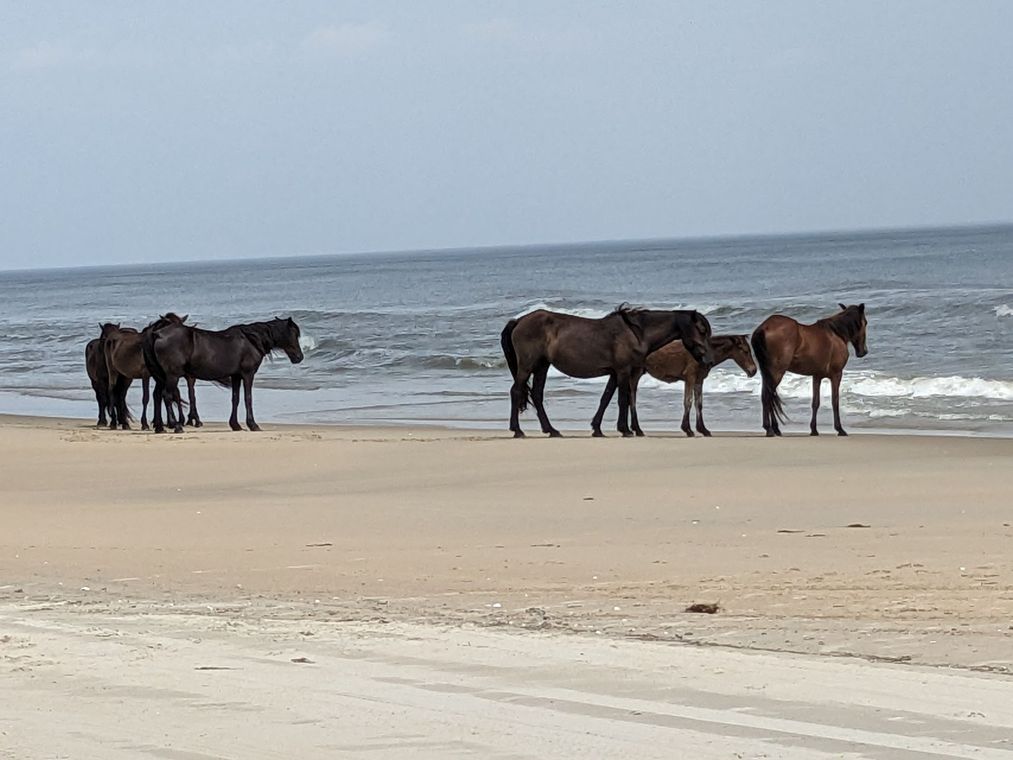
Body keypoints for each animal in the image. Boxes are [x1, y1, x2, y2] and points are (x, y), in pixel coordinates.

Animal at [143, 317, 304, 434]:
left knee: (157, 396)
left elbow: (235, 399)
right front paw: (252, 425)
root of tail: (158, 334)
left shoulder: (236, 376)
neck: (251, 340)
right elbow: (248, 398)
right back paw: (176, 426)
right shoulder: (248, 374)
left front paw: (235, 425)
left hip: (161, 376)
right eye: (294, 334)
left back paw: (160, 428)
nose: (299, 357)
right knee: (167, 396)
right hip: (172, 375)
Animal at [500, 305, 714, 438]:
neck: (636, 333)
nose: (709, 360)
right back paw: (518, 430)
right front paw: (625, 430)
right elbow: (623, 400)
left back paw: (552, 430)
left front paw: (597, 429)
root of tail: (518, 321)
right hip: (527, 365)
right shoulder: (624, 371)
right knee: (516, 391)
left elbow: (607, 398)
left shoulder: (615, 373)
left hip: (542, 366)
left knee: (536, 394)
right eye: (702, 330)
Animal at [597, 334, 756, 437]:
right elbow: (688, 402)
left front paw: (703, 429)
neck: (703, 353)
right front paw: (688, 429)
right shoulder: (690, 377)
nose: (753, 370)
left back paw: (635, 429)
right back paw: (637, 429)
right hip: (635, 373)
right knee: (632, 399)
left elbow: (699, 404)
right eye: (745, 351)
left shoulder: (699, 380)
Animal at [751, 303, 868, 437]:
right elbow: (835, 401)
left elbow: (815, 403)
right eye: (865, 322)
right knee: (767, 396)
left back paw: (775, 429)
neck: (836, 334)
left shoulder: (817, 376)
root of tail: (763, 328)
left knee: (767, 396)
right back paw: (769, 429)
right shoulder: (836, 374)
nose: (863, 351)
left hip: (768, 373)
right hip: (776, 372)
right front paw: (840, 429)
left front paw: (814, 430)